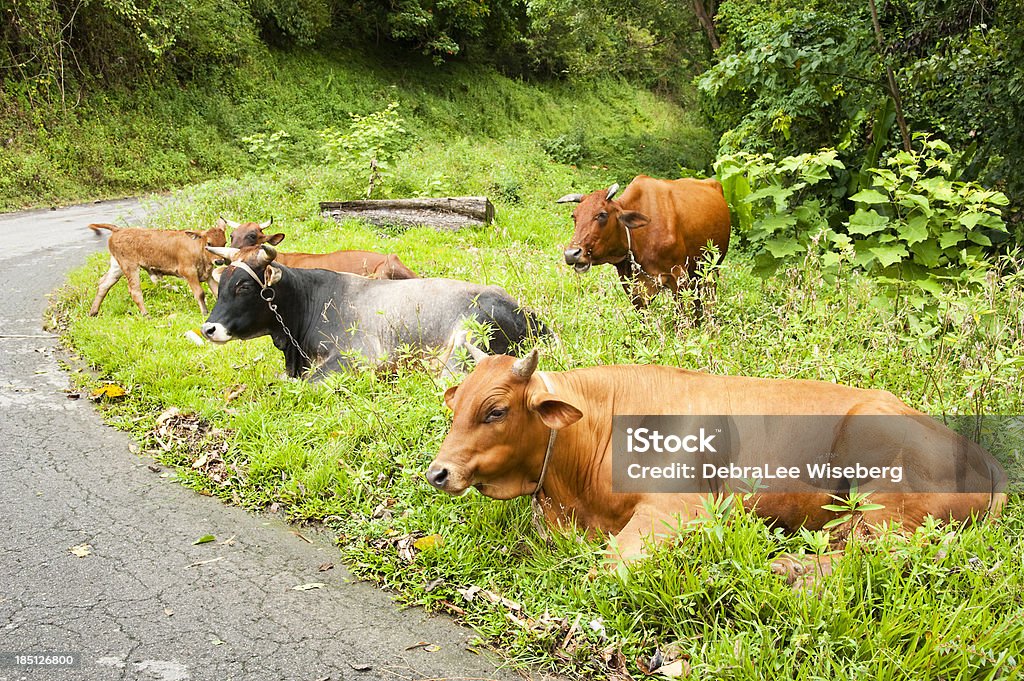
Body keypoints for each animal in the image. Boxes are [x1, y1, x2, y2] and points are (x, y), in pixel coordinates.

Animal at [87, 224, 226, 317]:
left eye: (224, 243)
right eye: (209, 243)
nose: (220, 261)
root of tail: (119, 229)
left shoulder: (208, 275)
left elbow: (217, 291)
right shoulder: (189, 272)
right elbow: (200, 293)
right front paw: (205, 312)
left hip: (117, 267)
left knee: (104, 284)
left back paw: (93, 312)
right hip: (130, 266)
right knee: (135, 291)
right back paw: (146, 315)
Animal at [201, 242, 552, 376]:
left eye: (243, 287)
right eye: (220, 283)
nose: (208, 329)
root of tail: (530, 315)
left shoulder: (358, 357)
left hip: (462, 348)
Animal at [425, 350, 1007, 573]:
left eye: (495, 410)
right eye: (455, 405)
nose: (438, 473)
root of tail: (981, 454)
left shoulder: (678, 508)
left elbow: (610, 566)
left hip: (886, 498)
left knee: (872, 556)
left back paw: (787, 570)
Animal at [561, 174, 729, 315]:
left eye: (602, 214)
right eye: (574, 216)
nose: (571, 254)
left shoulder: (679, 278)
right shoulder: (632, 287)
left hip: (713, 269)